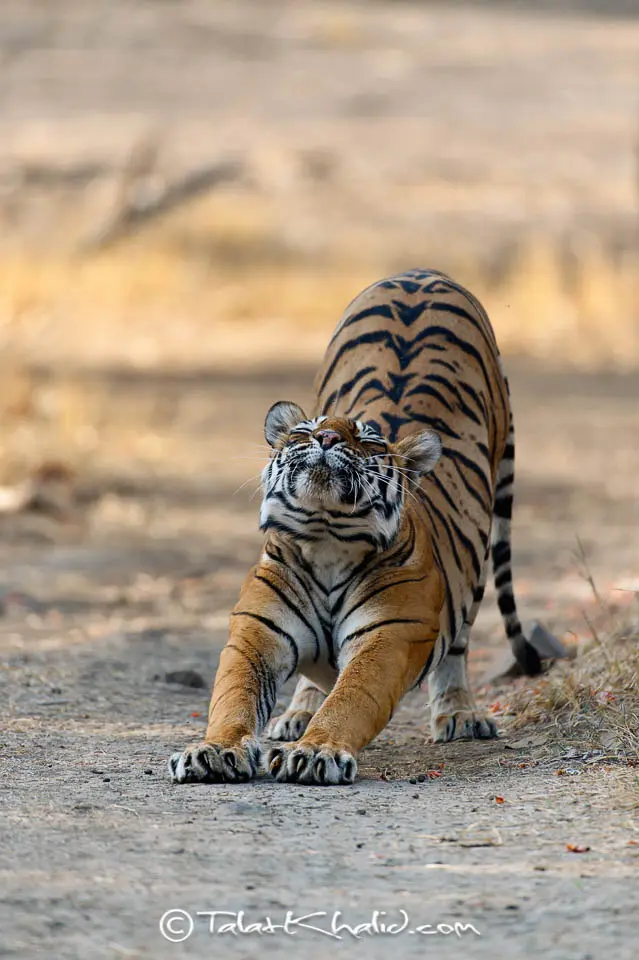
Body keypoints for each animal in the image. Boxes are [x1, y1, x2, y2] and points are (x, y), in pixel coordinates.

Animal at [169, 268, 559, 786]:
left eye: (368, 441)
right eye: (302, 432)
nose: (326, 437)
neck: (325, 539)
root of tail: (423, 273)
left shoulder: (389, 635)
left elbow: (351, 699)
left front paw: (317, 752)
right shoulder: (257, 632)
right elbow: (233, 698)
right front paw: (214, 750)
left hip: (476, 566)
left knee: (457, 647)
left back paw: (459, 715)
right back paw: (296, 714)